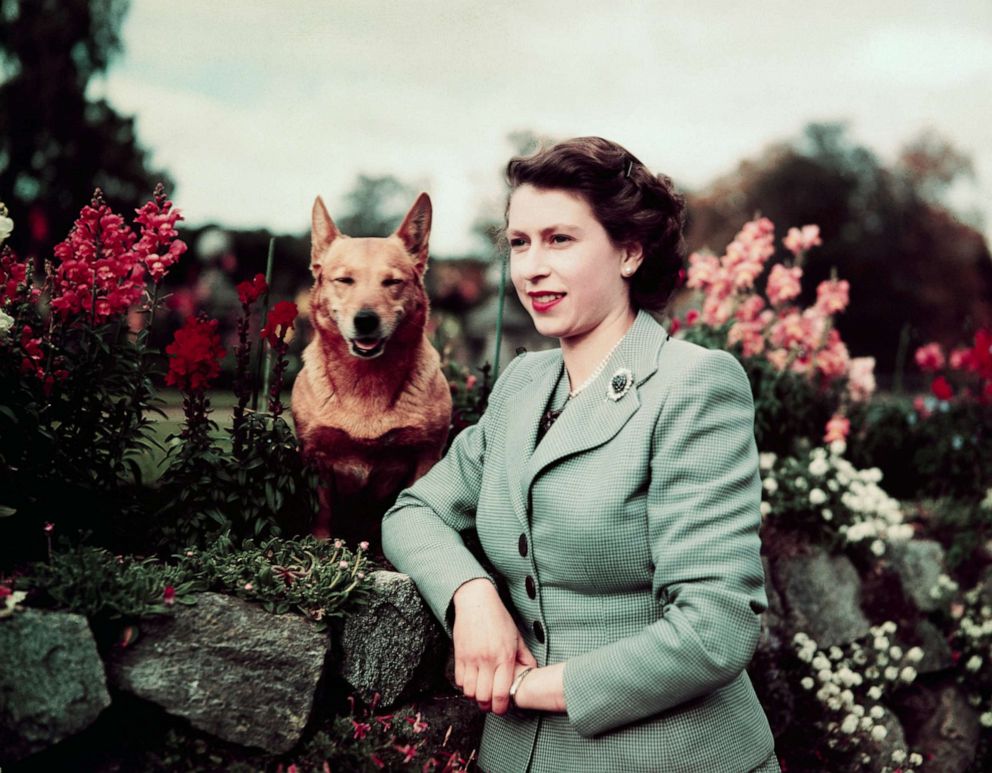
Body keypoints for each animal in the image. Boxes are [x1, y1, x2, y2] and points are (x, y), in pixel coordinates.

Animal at [290, 193, 454, 548]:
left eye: (392, 282)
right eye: (344, 280)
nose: (366, 320)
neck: (366, 382)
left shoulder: (426, 456)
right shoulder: (316, 457)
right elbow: (322, 513)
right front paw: (320, 548)